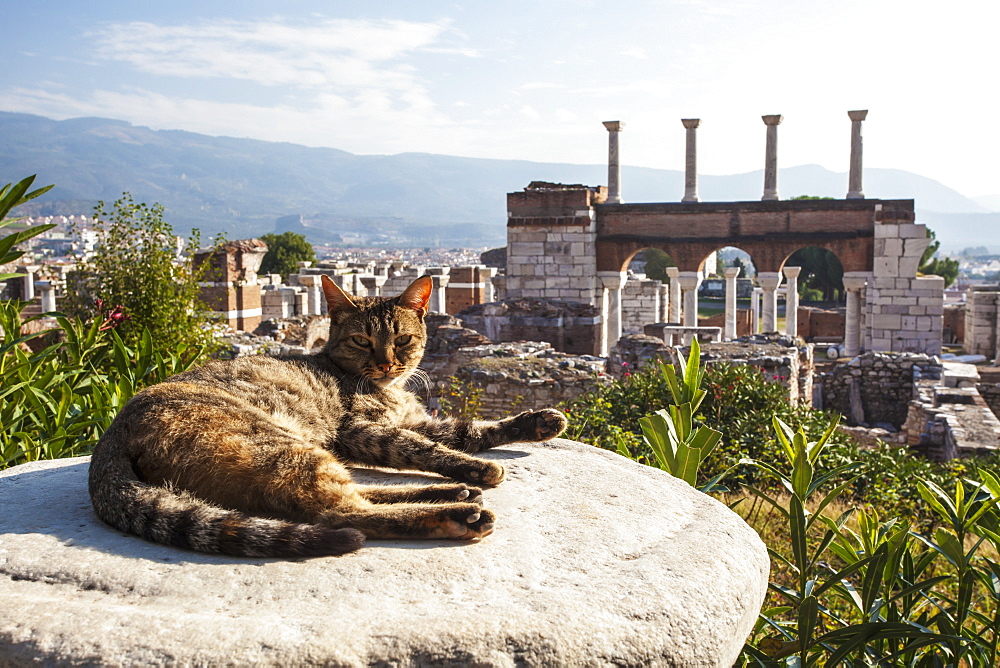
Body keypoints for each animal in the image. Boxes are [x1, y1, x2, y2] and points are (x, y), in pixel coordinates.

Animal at [90, 276, 568, 560]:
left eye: (402, 339)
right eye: (361, 341)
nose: (386, 363)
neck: (387, 388)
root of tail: (111, 436)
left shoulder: (415, 419)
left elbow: (467, 430)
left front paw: (538, 422)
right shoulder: (360, 431)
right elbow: (425, 447)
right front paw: (478, 467)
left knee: (354, 496)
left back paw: (451, 493)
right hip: (282, 446)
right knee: (341, 513)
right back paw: (457, 512)